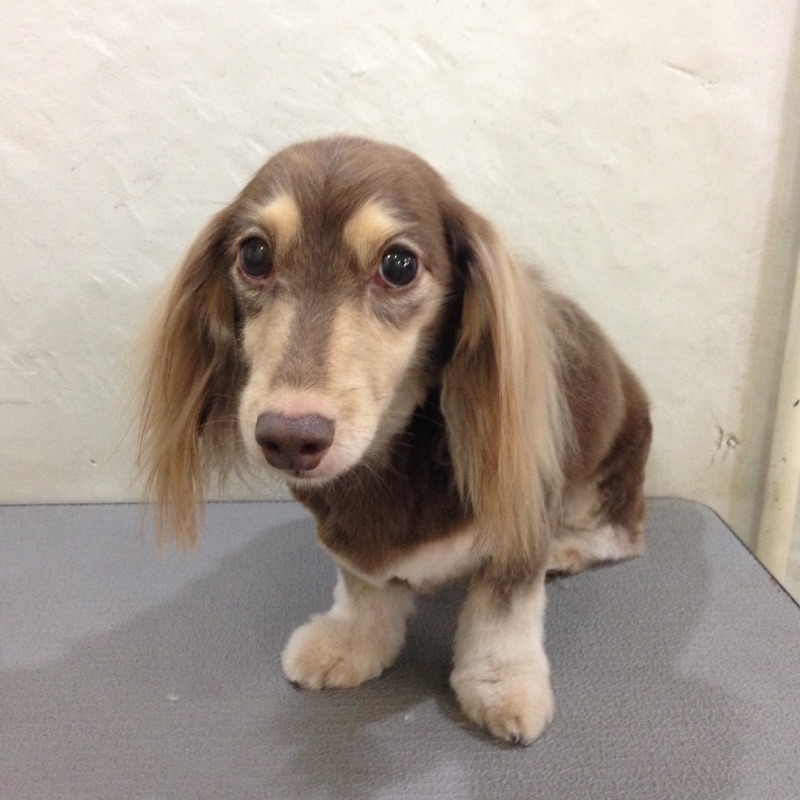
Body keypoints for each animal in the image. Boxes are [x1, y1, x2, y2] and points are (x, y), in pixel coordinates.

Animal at [138, 136, 651, 745]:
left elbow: (503, 612)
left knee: (623, 537)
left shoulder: (522, 515)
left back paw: (566, 548)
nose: (289, 436)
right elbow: (363, 587)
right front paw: (350, 642)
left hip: (606, 481)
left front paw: (502, 685)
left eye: (399, 264)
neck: (392, 453)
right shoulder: (349, 533)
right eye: (255, 255)